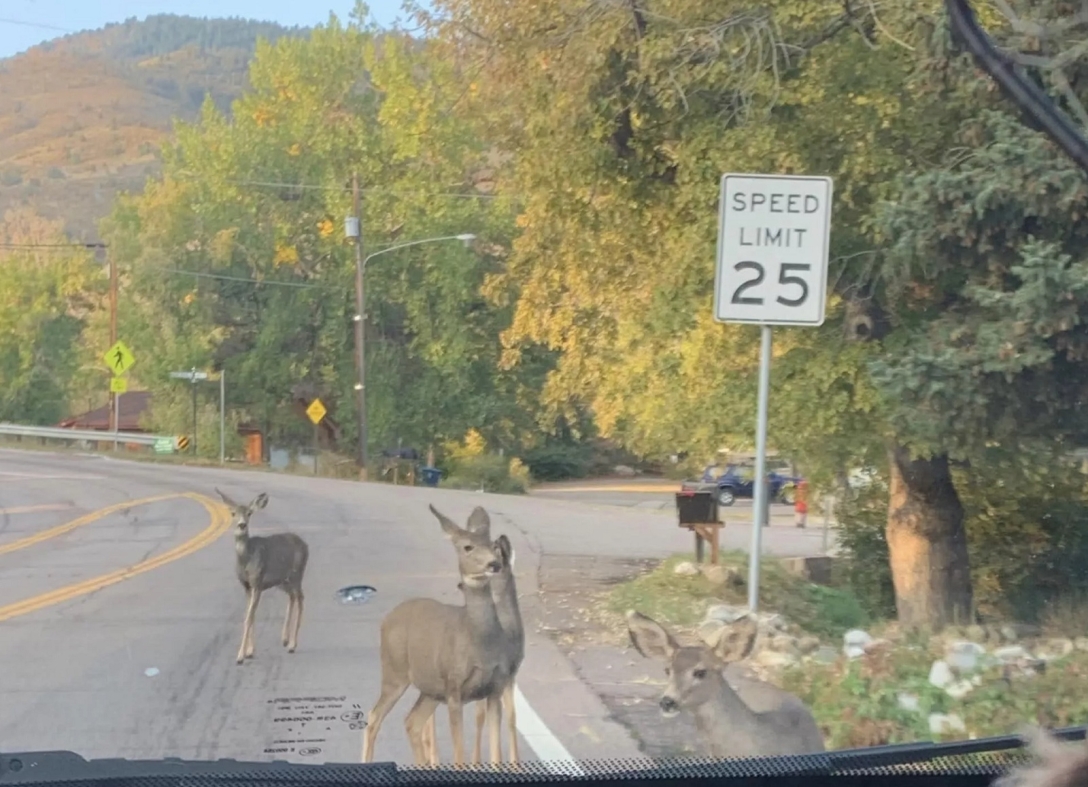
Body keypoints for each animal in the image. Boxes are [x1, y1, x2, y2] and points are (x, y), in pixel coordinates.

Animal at [213, 489, 308, 666]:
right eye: (233, 513)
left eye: (249, 513)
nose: (242, 525)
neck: (246, 559)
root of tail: (305, 544)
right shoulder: (247, 586)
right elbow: (251, 615)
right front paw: (250, 651)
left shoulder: (257, 582)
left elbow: (248, 617)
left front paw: (240, 656)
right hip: (282, 581)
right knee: (292, 597)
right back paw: (285, 639)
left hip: (297, 575)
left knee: (301, 598)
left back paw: (292, 645)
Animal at [356, 505, 509, 770]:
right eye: (467, 547)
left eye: (492, 544)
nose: (494, 564)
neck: (478, 641)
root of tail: (387, 619)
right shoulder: (454, 687)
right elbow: (459, 755)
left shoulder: (494, 689)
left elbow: (496, 754)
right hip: (395, 670)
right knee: (375, 715)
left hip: (429, 689)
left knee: (411, 722)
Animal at [417, 526, 524, 766]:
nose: (502, 537)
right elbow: (482, 716)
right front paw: (477, 762)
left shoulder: (509, 676)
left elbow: (510, 716)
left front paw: (514, 765)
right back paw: (432, 759)